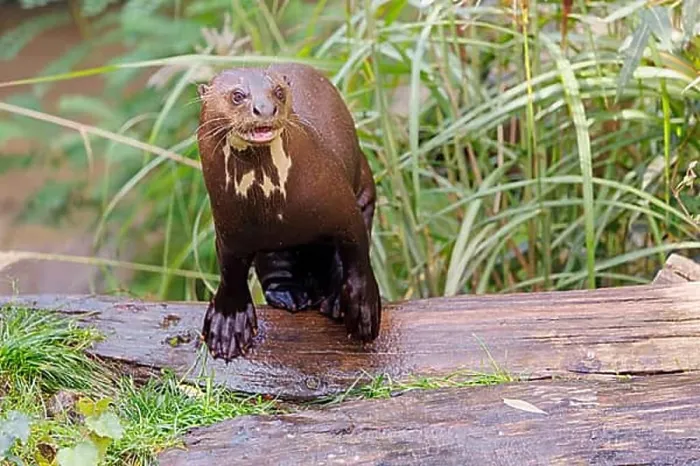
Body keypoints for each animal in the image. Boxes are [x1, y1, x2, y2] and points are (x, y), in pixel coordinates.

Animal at [196, 63, 381, 362]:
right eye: (238, 95)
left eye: (279, 92)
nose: (265, 109)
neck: (275, 203)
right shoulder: (228, 226)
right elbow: (230, 270)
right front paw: (228, 323)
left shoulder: (343, 205)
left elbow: (357, 253)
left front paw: (363, 308)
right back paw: (290, 295)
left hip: (365, 186)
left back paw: (333, 301)